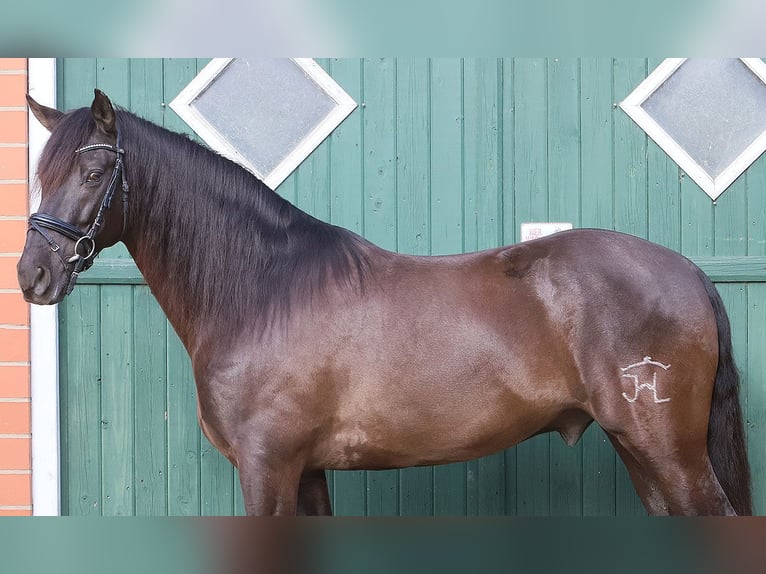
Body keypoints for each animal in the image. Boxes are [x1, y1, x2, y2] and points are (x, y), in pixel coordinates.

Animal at [19, 90, 756, 516]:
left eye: (92, 172)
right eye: (39, 173)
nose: (33, 275)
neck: (264, 290)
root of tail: (687, 270)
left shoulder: (267, 468)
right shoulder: (307, 473)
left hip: (669, 451)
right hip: (640, 449)